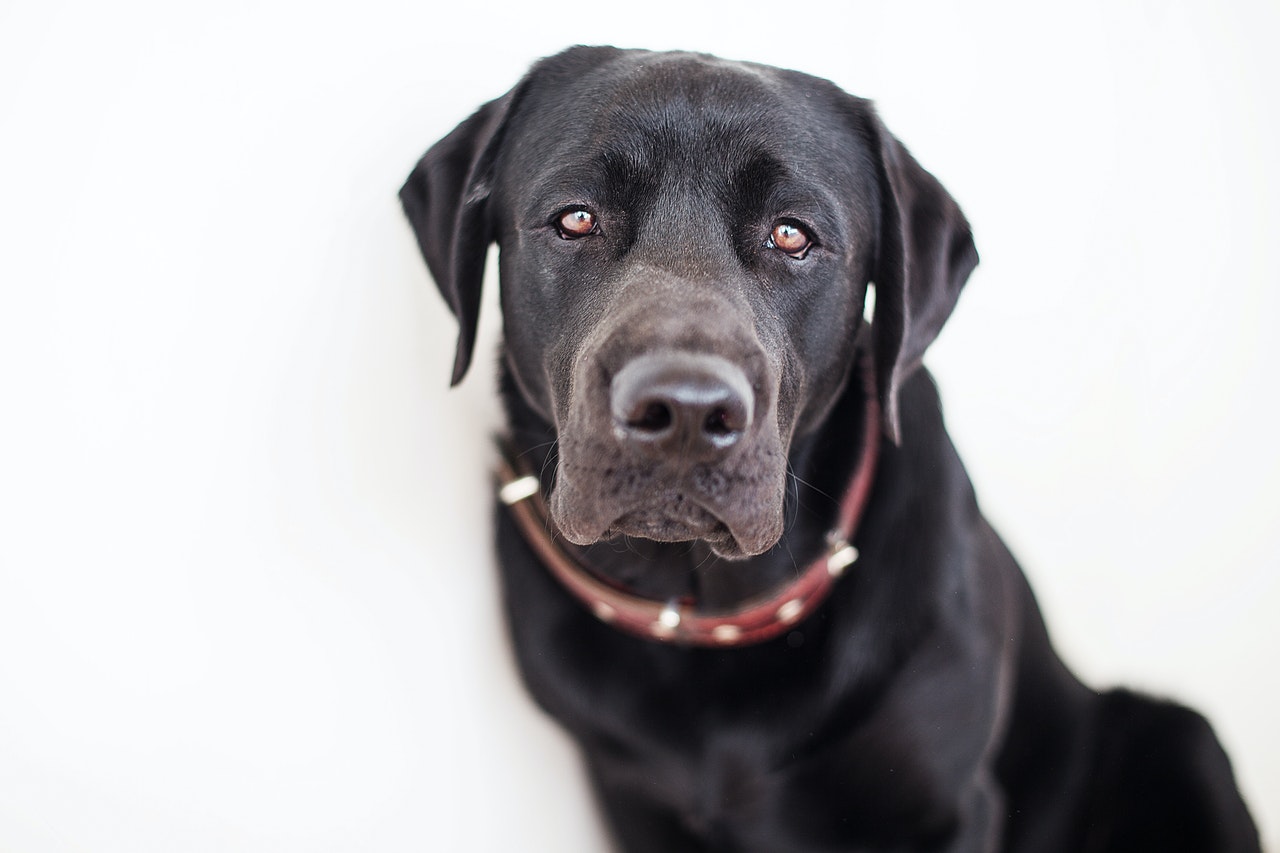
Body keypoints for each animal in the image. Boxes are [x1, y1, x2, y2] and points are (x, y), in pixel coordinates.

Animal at [401, 48, 1259, 850]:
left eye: (793, 235)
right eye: (576, 219)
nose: (684, 410)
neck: (717, 613)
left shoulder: (952, 806)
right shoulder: (633, 801)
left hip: (1184, 738)